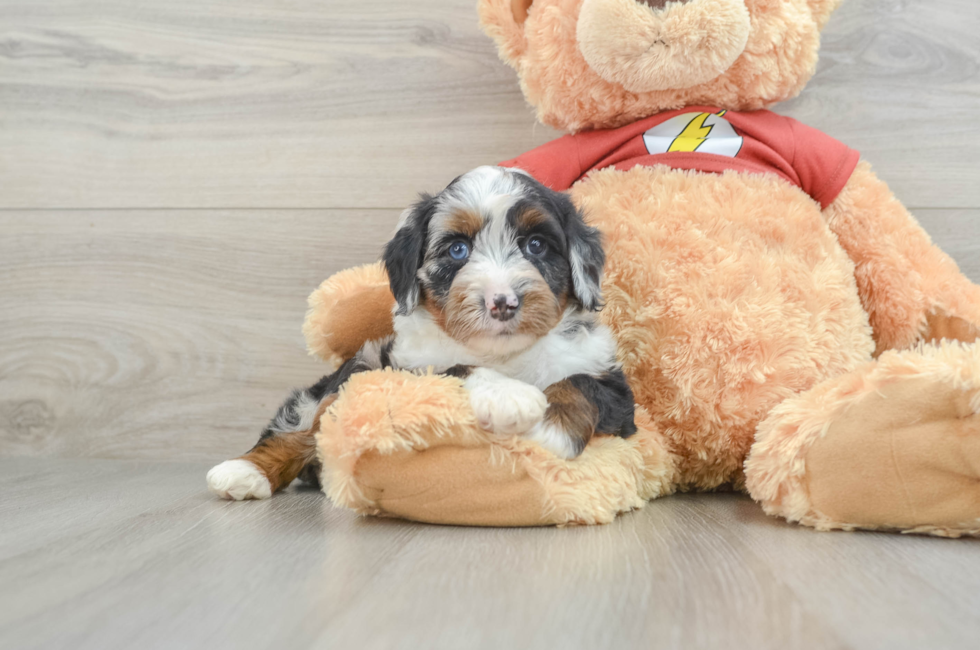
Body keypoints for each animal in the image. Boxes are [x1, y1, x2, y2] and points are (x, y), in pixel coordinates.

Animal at [207, 165, 636, 498]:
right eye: (458, 250)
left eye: (536, 245)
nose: (503, 302)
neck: (503, 353)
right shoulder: (404, 369)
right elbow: (458, 368)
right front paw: (508, 396)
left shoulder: (614, 388)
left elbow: (581, 383)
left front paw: (550, 427)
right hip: (354, 368)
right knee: (299, 425)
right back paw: (243, 473)